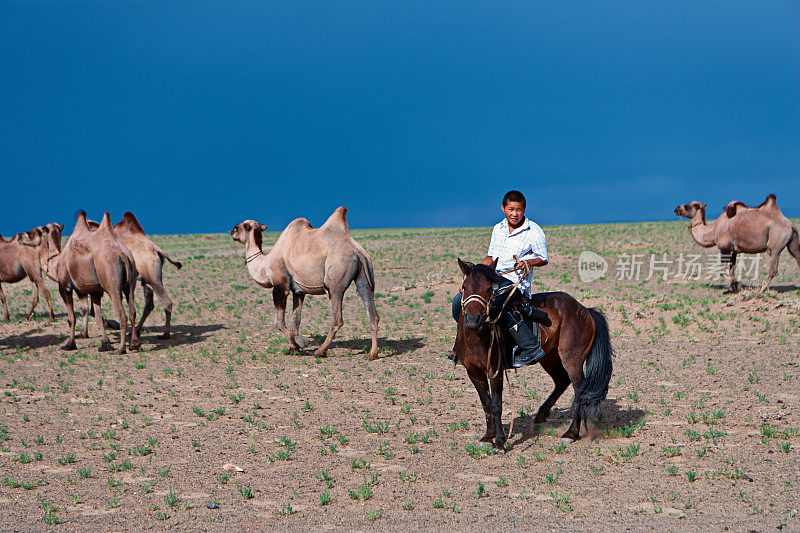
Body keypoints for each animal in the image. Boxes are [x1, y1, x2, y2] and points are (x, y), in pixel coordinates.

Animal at [54, 211, 140, 354]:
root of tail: (122, 254)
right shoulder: (95, 291)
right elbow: (98, 316)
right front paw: (105, 344)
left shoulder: (65, 286)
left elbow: (71, 318)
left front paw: (70, 344)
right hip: (131, 280)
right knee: (132, 310)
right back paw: (134, 344)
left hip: (112, 284)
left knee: (122, 314)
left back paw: (120, 349)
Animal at [231, 206, 382, 360]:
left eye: (238, 227)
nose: (231, 232)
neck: (265, 265)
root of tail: (358, 251)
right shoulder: (298, 291)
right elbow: (296, 319)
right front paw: (293, 348)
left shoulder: (280, 285)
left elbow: (278, 322)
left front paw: (300, 342)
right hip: (365, 276)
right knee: (372, 313)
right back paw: (372, 353)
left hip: (335, 281)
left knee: (336, 318)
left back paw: (320, 351)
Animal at [456, 260, 612, 446]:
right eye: (465, 286)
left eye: (489, 288)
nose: (474, 319)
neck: (477, 337)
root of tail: (584, 310)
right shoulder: (473, 372)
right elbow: (486, 404)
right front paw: (488, 436)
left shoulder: (495, 370)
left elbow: (496, 404)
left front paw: (500, 442)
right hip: (549, 357)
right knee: (562, 380)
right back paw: (542, 414)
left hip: (571, 358)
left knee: (579, 390)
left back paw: (571, 433)